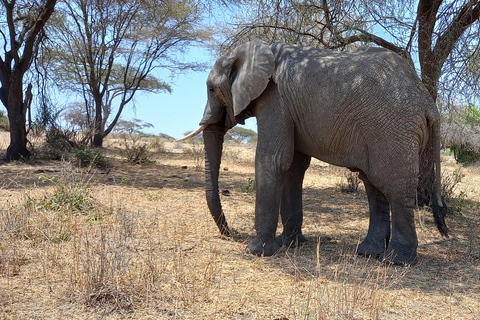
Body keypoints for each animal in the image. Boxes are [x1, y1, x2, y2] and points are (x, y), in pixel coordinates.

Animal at [181, 39, 450, 264]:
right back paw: (368, 252)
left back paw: (396, 261)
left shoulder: (274, 99)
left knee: (395, 187)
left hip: (394, 128)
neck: (257, 48)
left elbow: (273, 160)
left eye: (211, 89)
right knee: (374, 184)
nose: (230, 233)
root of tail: (428, 101)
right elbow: (292, 168)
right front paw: (290, 244)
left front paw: (256, 251)